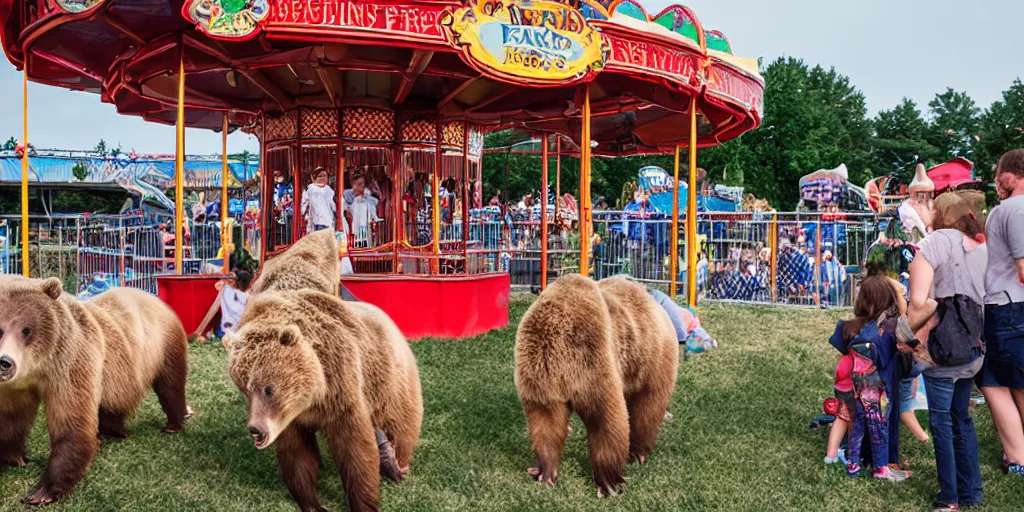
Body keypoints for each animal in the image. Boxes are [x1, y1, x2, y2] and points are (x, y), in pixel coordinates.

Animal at [0, 276, 190, 503]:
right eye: (0, 329)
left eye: (26, 329)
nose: (5, 362)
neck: (36, 368)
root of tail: (150, 295)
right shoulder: (13, 388)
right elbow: (11, 419)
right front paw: (14, 458)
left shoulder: (69, 362)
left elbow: (72, 423)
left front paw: (42, 492)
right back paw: (115, 433)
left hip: (163, 343)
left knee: (170, 386)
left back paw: (172, 424)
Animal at [226, 288, 421, 512]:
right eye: (244, 389)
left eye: (268, 389)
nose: (256, 429)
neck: (312, 397)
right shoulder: (290, 420)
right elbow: (299, 458)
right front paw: (313, 503)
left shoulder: (342, 396)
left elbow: (356, 453)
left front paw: (363, 503)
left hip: (387, 375)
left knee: (400, 420)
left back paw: (398, 463)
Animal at [512, 276, 679, 495]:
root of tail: (658, 308)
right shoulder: (544, 385)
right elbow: (548, 425)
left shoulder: (583, 367)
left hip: (647, 359)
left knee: (641, 409)